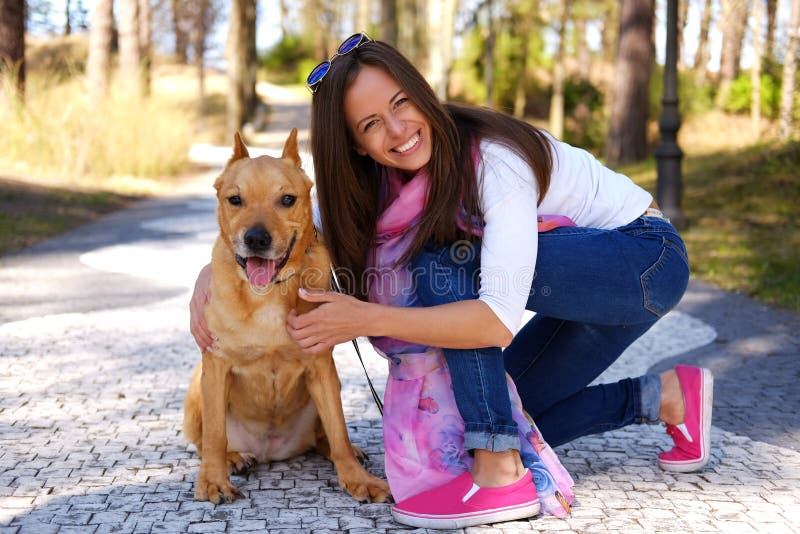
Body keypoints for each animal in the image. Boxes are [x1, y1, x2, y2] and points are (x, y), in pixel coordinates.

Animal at [184, 130, 390, 506]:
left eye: (287, 199)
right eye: (235, 199)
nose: (256, 239)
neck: (266, 293)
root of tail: (272, 452)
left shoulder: (321, 367)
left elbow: (339, 431)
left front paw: (357, 478)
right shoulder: (216, 366)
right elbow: (215, 436)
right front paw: (212, 481)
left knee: (327, 436)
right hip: (197, 385)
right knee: (206, 442)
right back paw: (233, 457)